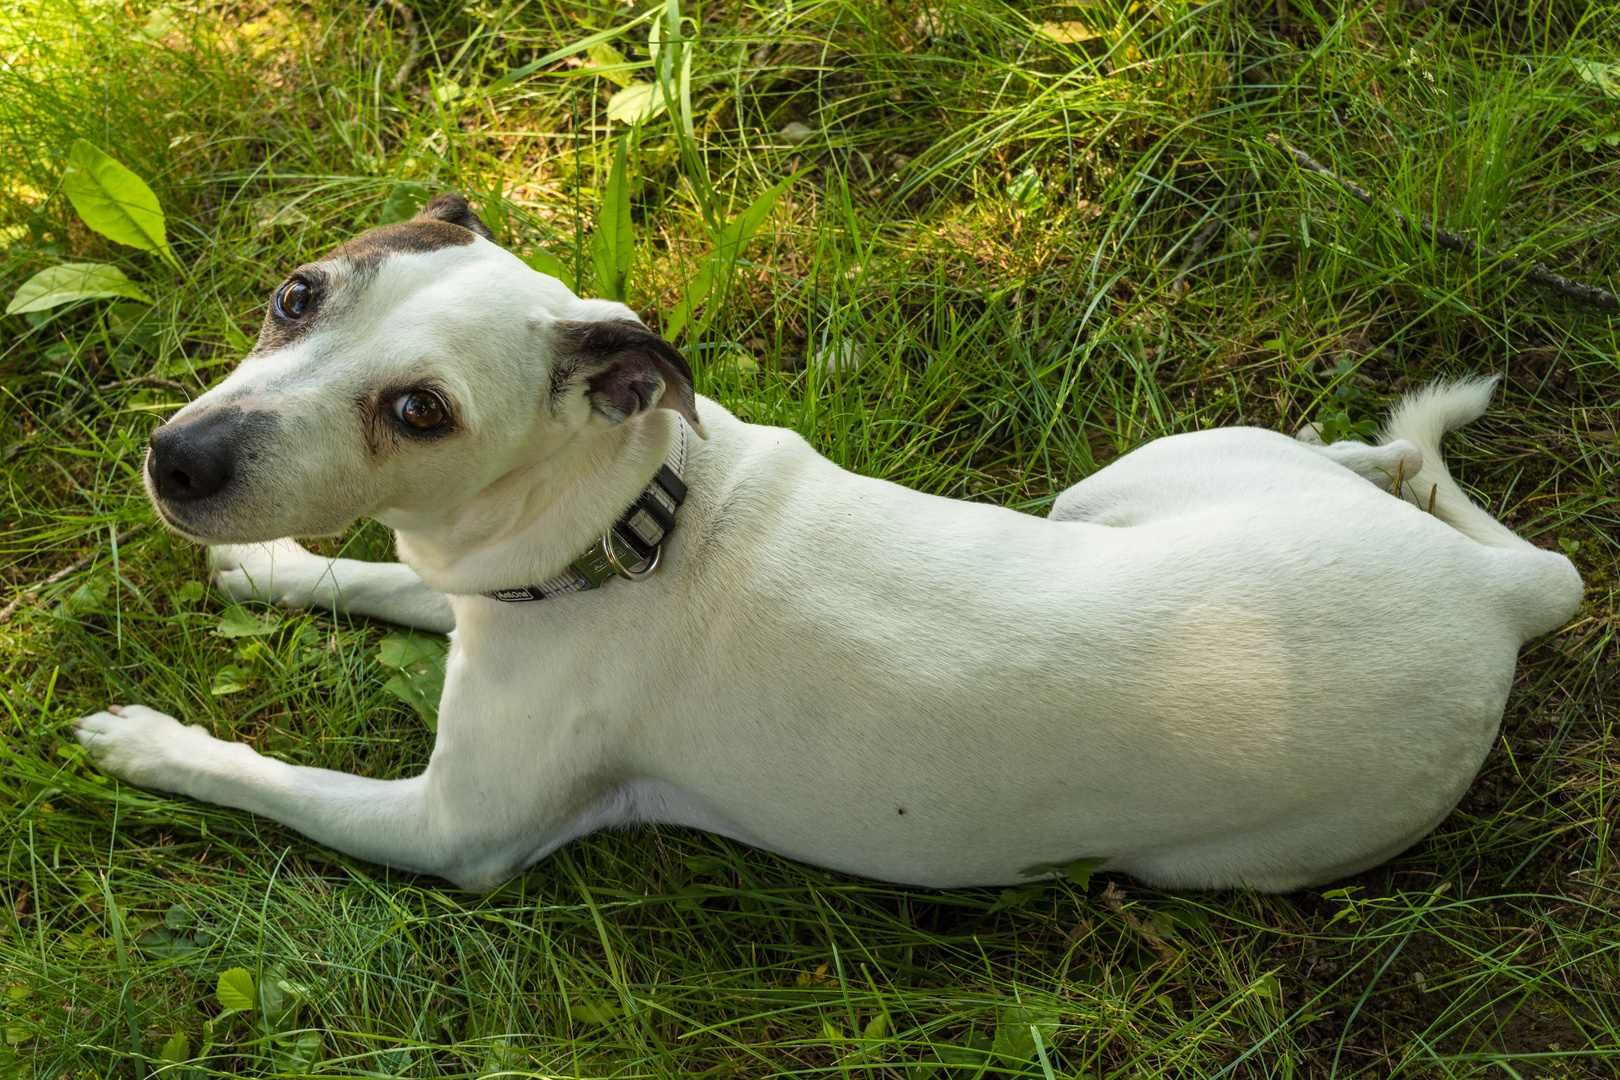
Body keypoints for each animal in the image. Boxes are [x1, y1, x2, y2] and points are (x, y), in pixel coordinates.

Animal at [76, 194, 1581, 893]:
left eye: (417, 411)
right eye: (297, 294)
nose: (177, 461)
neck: (637, 519)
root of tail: (1496, 596)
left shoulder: (450, 830)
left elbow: (267, 775)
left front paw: (150, 743)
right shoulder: (487, 597)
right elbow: (389, 578)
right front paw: (278, 570)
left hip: (1218, 836)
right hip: (1147, 482)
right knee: (1361, 465)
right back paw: (1361, 449)